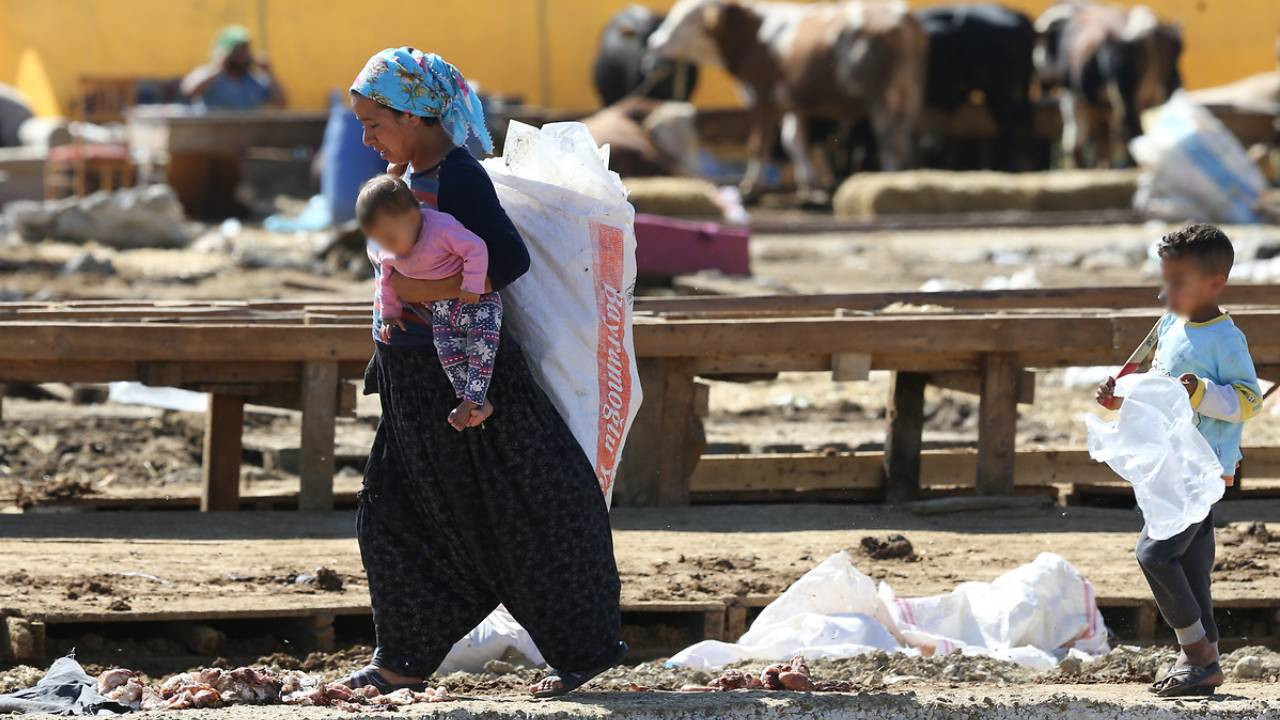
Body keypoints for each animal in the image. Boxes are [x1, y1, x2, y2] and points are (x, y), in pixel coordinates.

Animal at [645, 0, 926, 202]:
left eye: (687, 18)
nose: (654, 42)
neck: (751, 33)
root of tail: (903, 17)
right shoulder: (793, 103)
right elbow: (793, 141)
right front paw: (809, 187)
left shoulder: (761, 98)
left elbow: (759, 144)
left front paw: (751, 188)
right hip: (908, 93)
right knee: (905, 139)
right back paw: (904, 177)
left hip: (882, 95)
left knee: (888, 140)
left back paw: (887, 179)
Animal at [1034, 3, 1182, 167]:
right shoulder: (1103, 108)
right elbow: (1103, 143)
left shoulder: (1072, 99)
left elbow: (1075, 140)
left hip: (1128, 97)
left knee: (1128, 128)